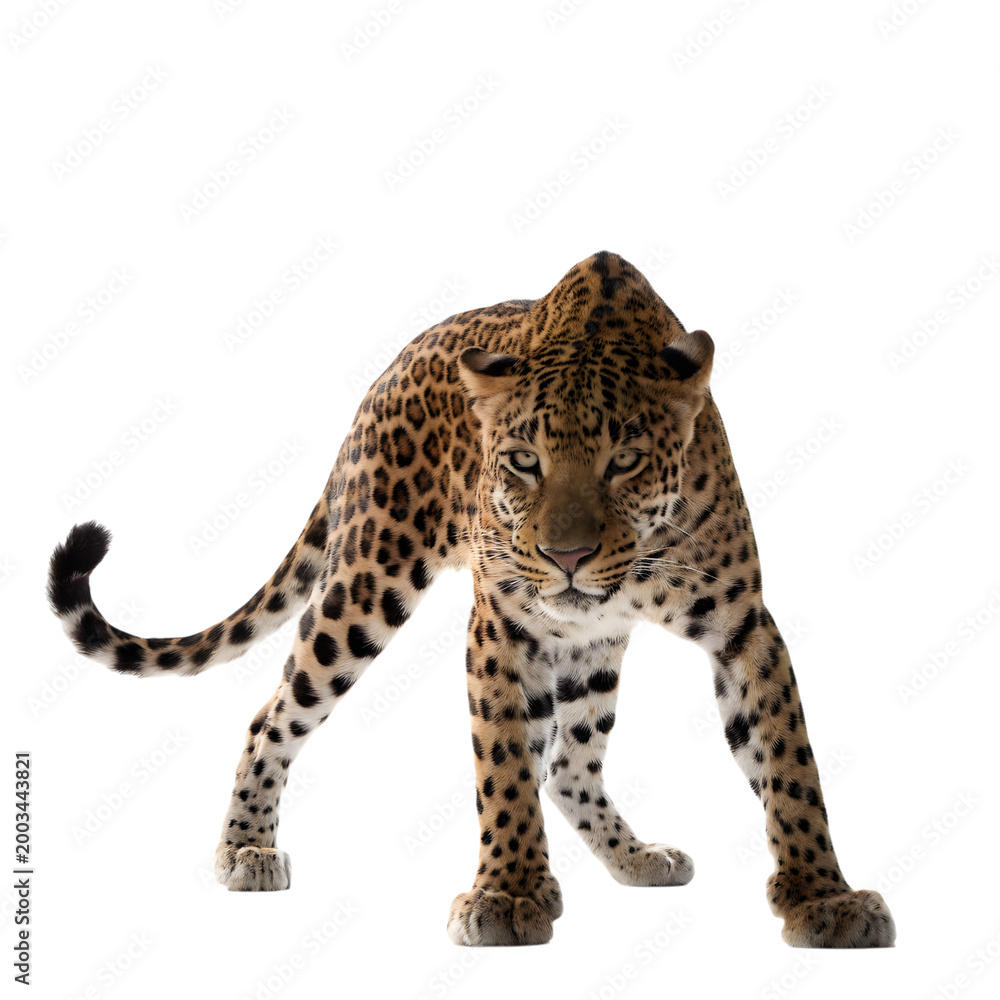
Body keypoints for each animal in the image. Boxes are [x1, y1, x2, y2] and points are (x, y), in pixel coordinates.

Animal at [48, 250, 895, 948]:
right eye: (522, 461)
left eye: (625, 461)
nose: (566, 558)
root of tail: (390, 369)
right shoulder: (502, 624)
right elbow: (503, 767)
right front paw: (509, 896)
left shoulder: (743, 625)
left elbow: (788, 761)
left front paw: (824, 897)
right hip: (366, 584)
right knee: (274, 714)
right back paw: (246, 849)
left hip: (589, 648)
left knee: (569, 764)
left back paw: (637, 859)